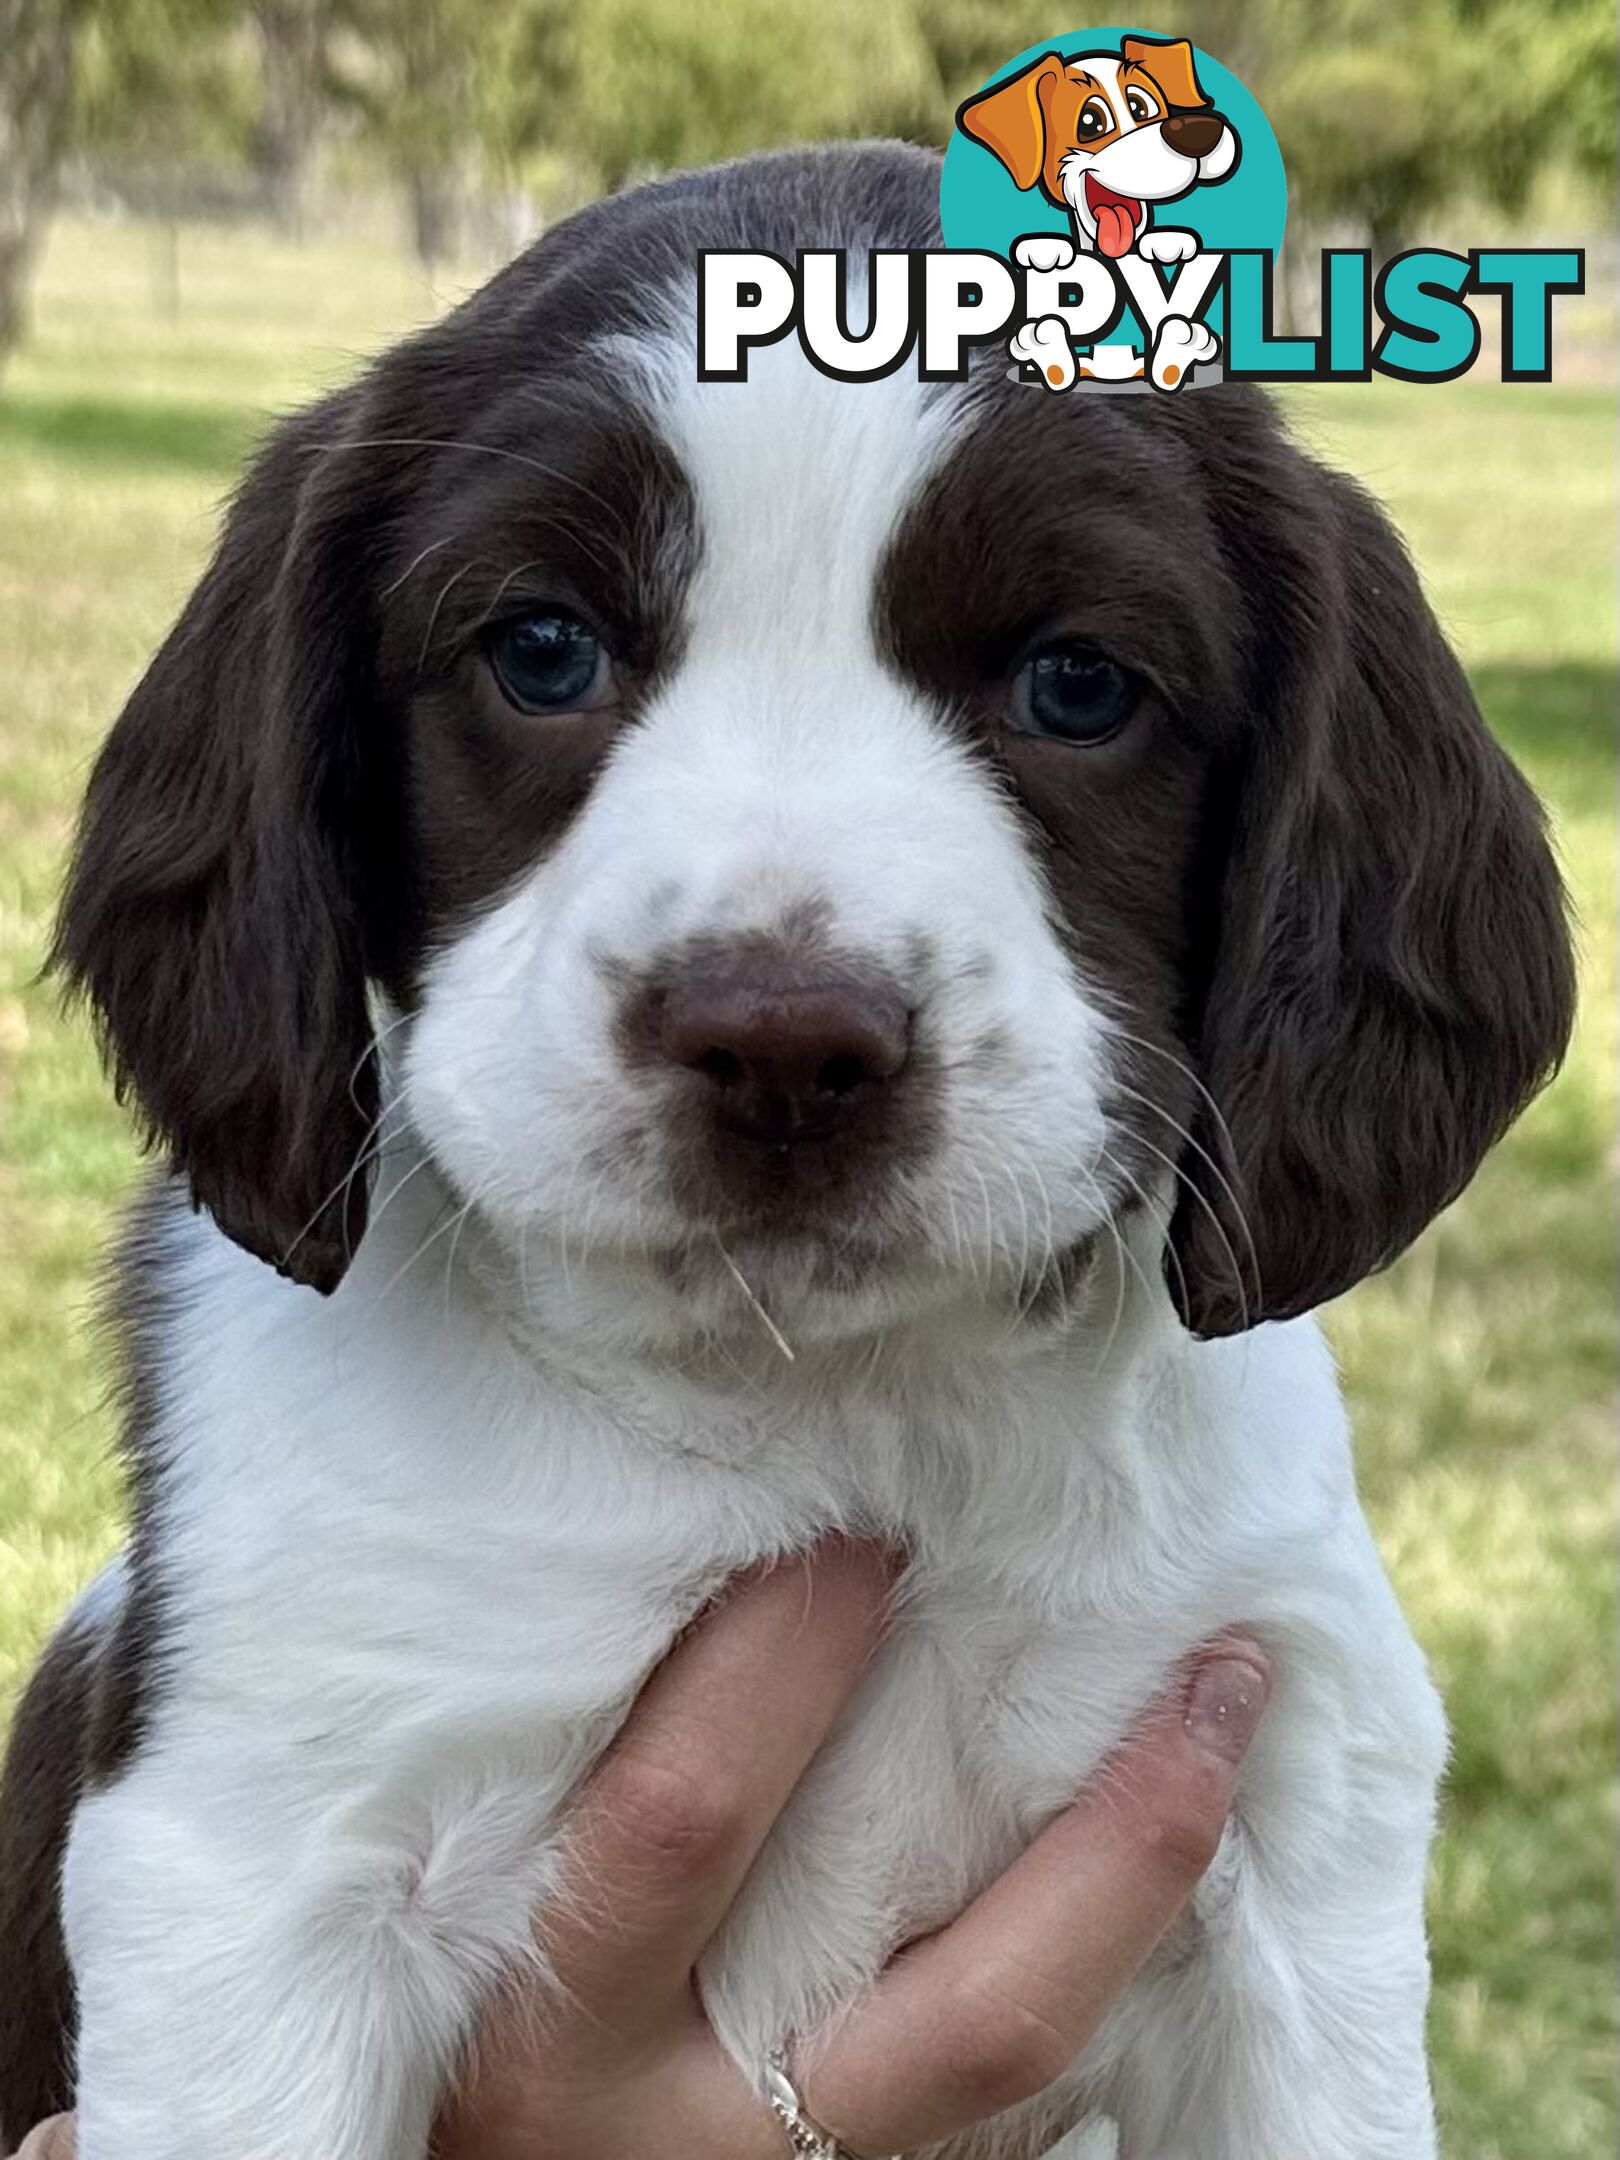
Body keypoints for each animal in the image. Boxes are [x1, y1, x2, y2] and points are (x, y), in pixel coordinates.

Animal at [0, 139, 1572, 2160]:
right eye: (540, 649)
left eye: (1079, 684)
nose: (783, 1045)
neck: (833, 1403)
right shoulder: (247, 1871)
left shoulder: (1301, 1825)